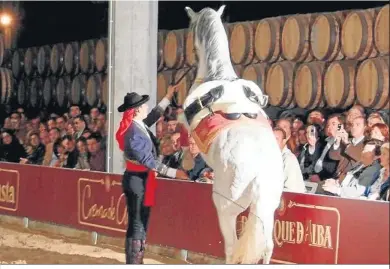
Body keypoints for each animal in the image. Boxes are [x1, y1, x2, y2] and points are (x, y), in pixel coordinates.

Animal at [178, 5, 284, 262]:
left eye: (191, 27)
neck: (219, 76)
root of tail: (259, 176)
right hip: (266, 211)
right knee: (267, 246)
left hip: (226, 208)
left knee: (231, 247)